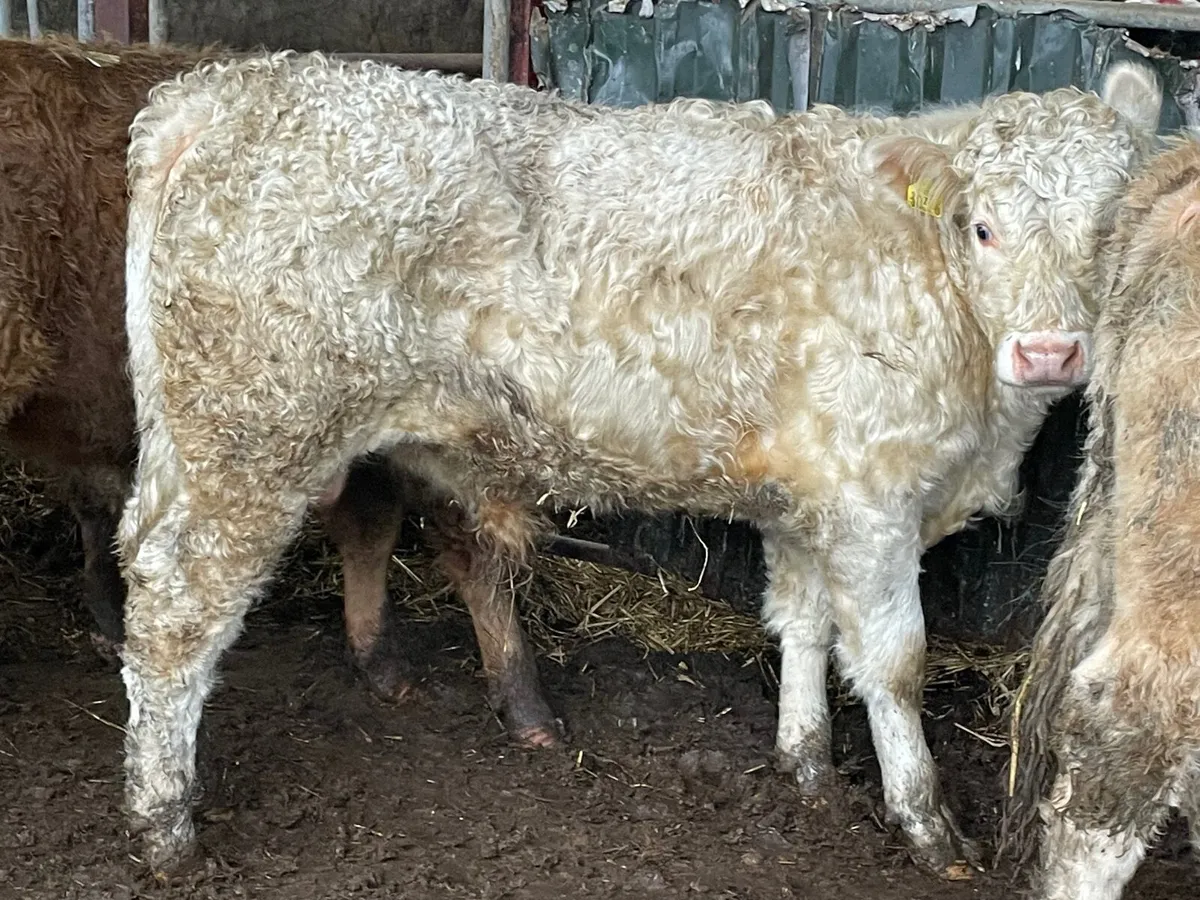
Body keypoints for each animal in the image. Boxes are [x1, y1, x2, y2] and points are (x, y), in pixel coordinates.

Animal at [115, 52, 1161, 873]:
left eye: (1109, 231)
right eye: (983, 225)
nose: (1052, 353)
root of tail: (226, 90)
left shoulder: (813, 493)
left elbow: (804, 624)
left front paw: (804, 763)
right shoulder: (873, 497)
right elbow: (896, 663)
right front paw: (928, 826)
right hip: (251, 434)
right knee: (177, 605)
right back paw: (165, 823)